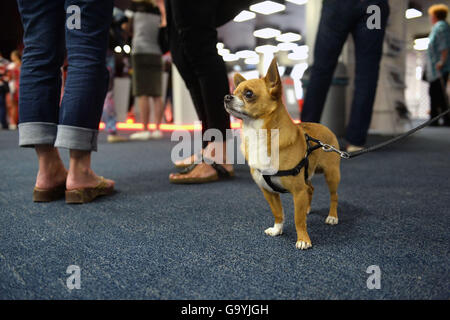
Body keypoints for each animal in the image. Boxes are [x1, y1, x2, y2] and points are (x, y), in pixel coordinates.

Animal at [225, 58, 342, 250]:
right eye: (233, 92)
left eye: (248, 94)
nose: (227, 97)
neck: (257, 133)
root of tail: (324, 127)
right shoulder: (268, 192)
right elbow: (278, 212)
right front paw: (277, 229)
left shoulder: (298, 191)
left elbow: (297, 219)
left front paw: (303, 239)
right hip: (307, 177)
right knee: (311, 188)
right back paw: (308, 208)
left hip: (331, 174)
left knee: (334, 196)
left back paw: (332, 216)